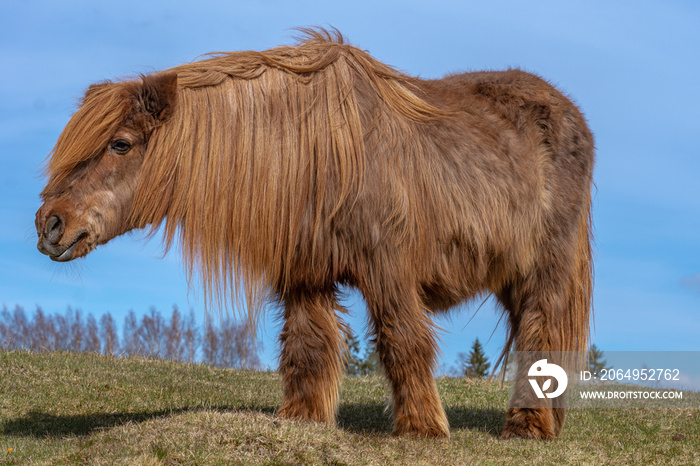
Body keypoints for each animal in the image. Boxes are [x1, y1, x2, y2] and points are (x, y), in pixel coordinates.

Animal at [35, 30, 592, 440]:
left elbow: (402, 340)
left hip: (547, 268)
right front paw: (302, 421)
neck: (312, 153)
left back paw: (528, 428)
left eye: (121, 144)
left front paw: (422, 429)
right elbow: (307, 346)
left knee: (543, 332)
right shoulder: (305, 275)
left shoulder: (387, 268)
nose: (50, 224)